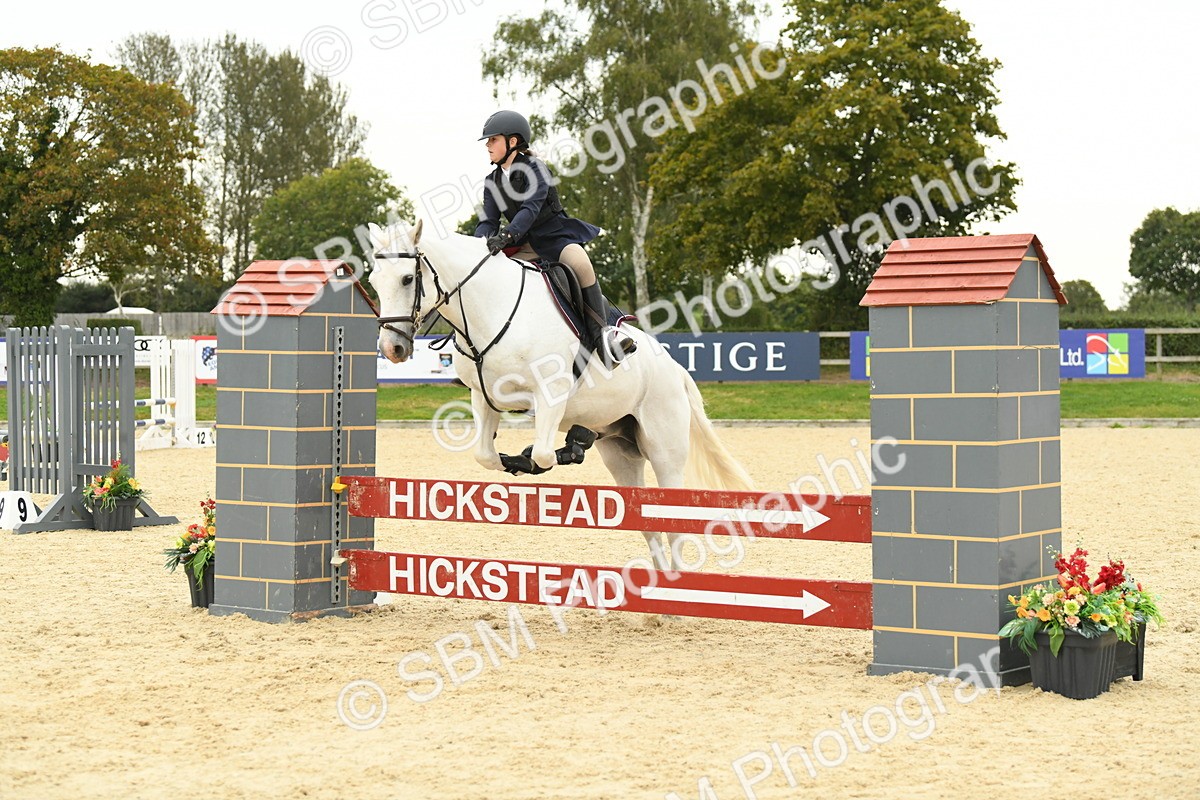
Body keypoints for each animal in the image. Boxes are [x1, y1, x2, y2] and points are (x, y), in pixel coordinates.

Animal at [368, 220, 754, 570]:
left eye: (407, 279)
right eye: (373, 282)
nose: (392, 349)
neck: (490, 309)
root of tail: (676, 370)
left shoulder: (550, 393)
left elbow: (540, 452)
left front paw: (535, 456)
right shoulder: (483, 396)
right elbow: (486, 455)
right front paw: (518, 459)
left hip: (665, 449)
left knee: (672, 521)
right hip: (621, 453)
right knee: (647, 522)